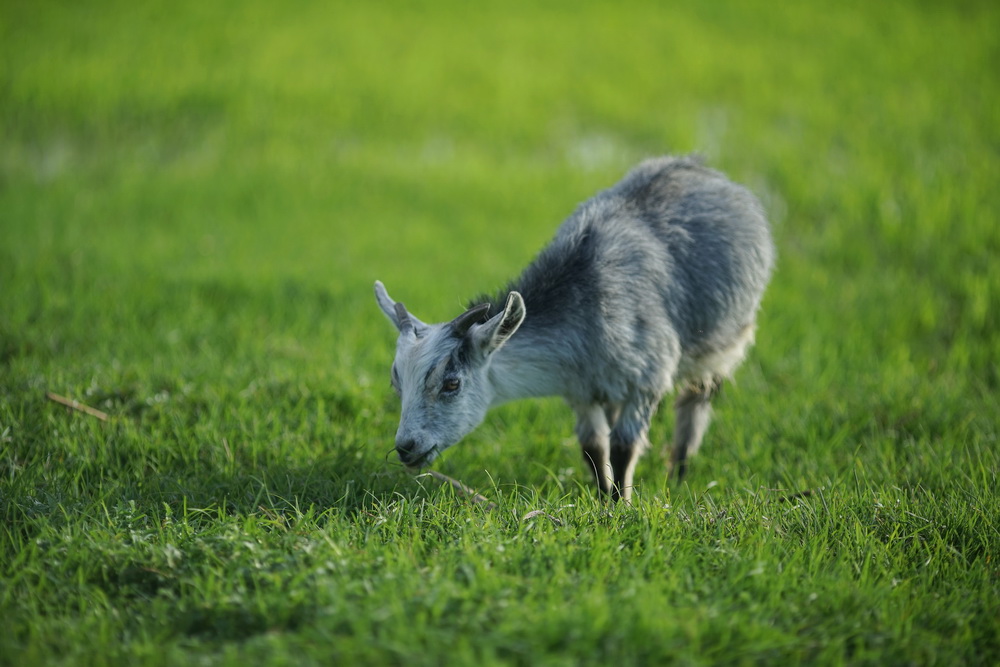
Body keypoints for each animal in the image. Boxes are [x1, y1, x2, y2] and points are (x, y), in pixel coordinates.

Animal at [376, 157, 772, 500]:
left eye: (451, 383)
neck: (588, 306)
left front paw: (622, 506)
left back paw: (678, 476)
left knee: (695, 403)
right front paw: (603, 499)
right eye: (397, 381)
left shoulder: (647, 380)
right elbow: (594, 447)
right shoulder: (580, 390)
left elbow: (623, 447)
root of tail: (702, 168)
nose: (406, 448)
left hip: (727, 345)